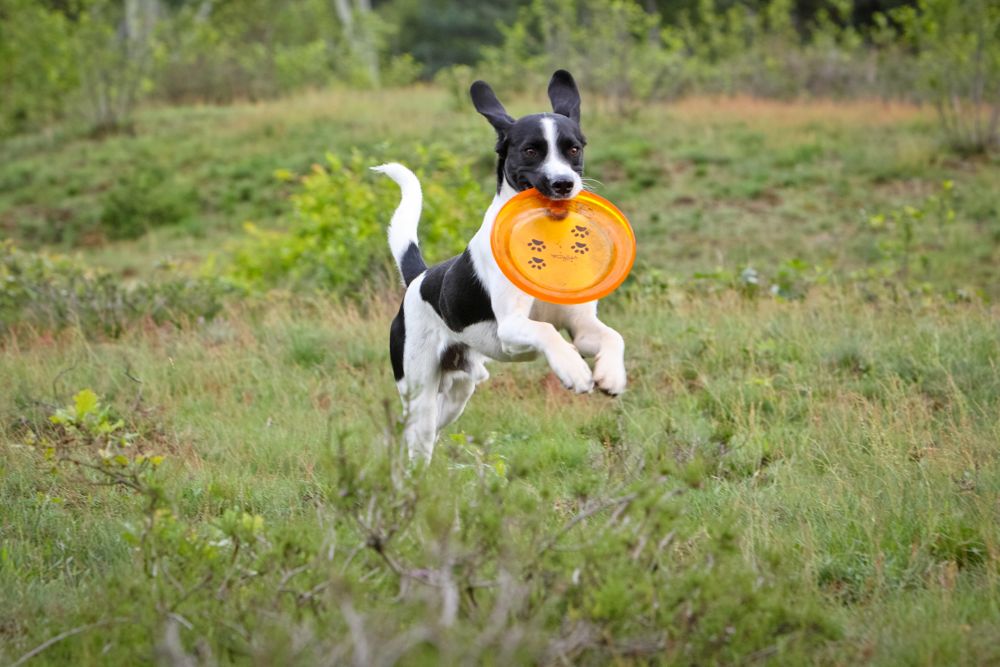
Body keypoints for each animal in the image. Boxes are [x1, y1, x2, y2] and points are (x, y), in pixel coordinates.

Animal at [374, 70, 624, 462]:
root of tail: (419, 279)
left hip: (458, 393)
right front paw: (573, 370)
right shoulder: (511, 327)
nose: (563, 183)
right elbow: (547, 332)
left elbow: (613, 336)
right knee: (412, 439)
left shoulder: (582, 327)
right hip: (420, 393)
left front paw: (611, 374)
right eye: (531, 150)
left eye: (573, 149)